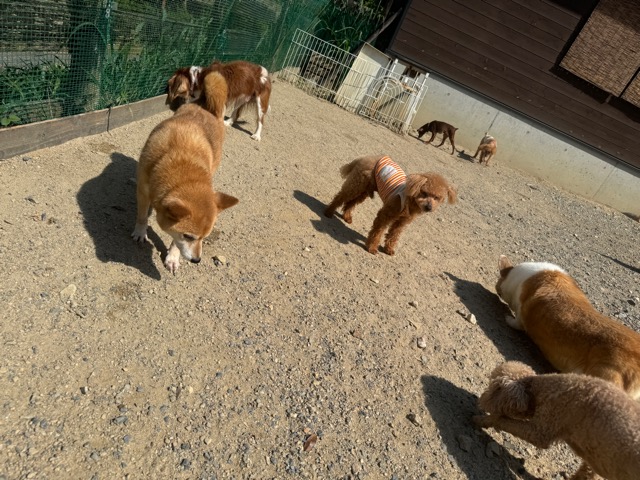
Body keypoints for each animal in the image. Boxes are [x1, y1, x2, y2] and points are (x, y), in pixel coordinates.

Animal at [133, 72, 239, 273]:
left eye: (205, 237)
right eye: (189, 236)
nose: (197, 260)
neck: (183, 162)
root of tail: (207, 106)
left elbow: (175, 241)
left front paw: (173, 257)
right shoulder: (143, 191)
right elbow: (142, 217)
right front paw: (140, 232)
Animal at [324, 155, 456, 255]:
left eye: (437, 198)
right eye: (424, 193)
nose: (429, 207)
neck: (410, 201)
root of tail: (367, 157)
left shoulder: (401, 222)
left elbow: (394, 235)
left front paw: (389, 249)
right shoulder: (385, 215)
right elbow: (378, 231)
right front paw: (372, 247)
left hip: (364, 191)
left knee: (351, 203)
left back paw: (347, 216)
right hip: (356, 185)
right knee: (341, 197)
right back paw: (328, 212)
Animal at [474, 361, 640, 480]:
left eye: (493, 385)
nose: (480, 399)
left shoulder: (542, 430)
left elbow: (506, 422)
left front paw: (484, 420)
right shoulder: (596, 462)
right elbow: (587, 472)